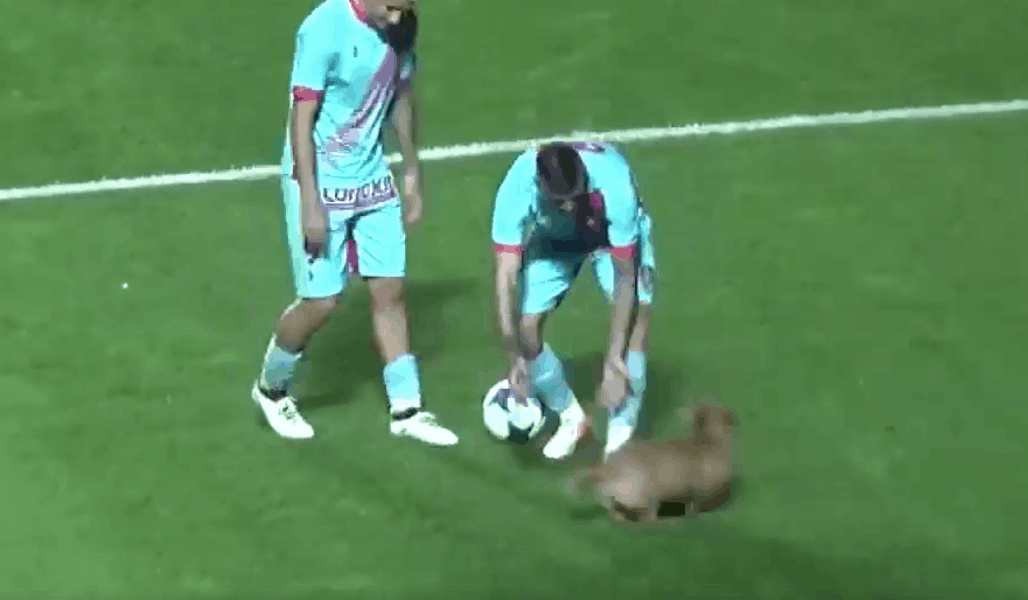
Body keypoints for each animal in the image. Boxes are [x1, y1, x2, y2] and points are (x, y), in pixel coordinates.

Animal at [568, 402, 739, 523]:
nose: (735, 415)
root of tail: (606, 470)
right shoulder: (697, 489)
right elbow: (695, 505)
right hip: (646, 497)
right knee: (646, 516)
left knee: (615, 510)